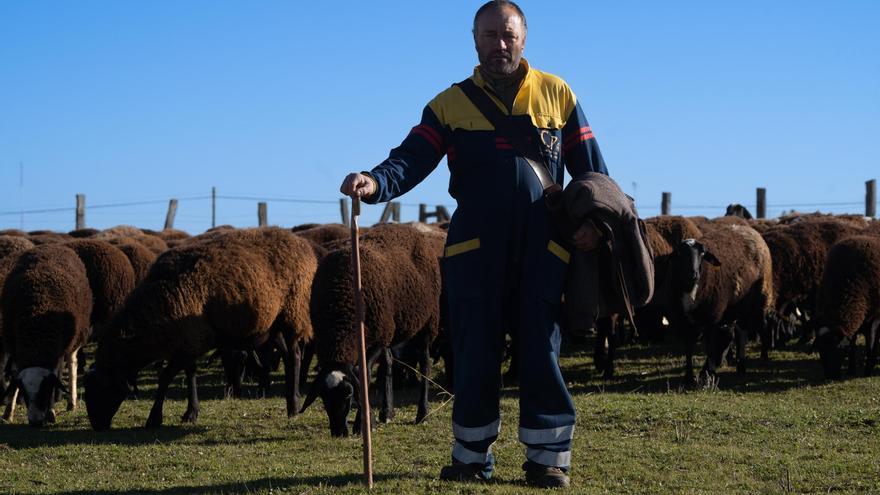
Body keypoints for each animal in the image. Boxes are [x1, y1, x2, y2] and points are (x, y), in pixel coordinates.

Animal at [0, 244, 93, 426]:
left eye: (45, 390)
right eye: (24, 391)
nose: (35, 423)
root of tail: (51, 246)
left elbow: (56, 373)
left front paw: (51, 412)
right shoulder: (15, 346)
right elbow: (14, 375)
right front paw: (8, 412)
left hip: (74, 338)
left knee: (72, 362)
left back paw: (71, 402)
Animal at [84, 228, 318, 430]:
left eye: (102, 387)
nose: (97, 425)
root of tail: (302, 244)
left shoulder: (188, 341)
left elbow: (165, 377)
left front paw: (155, 418)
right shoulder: (189, 342)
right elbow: (190, 374)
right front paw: (191, 412)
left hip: (293, 313)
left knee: (295, 356)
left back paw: (293, 405)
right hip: (272, 326)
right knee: (287, 356)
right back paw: (292, 401)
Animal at [812, 236, 880, 380]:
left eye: (840, 350)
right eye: (820, 349)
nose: (831, 376)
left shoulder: (874, 319)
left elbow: (871, 344)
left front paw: (868, 371)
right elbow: (853, 343)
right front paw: (851, 369)